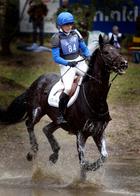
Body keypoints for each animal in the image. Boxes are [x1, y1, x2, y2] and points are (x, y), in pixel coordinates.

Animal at [0, 34, 127, 178]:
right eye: (106, 52)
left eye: (117, 50)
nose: (124, 64)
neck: (95, 99)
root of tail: (36, 81)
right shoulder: (81, 134)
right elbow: (83, 161)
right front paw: (85, 174)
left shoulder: (98, 132)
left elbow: (104, 157)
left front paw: (90, 169)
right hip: (37, 111)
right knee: (29, 124)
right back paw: (32, 152)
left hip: (57, 120)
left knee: (46, 129)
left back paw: (54, 155)